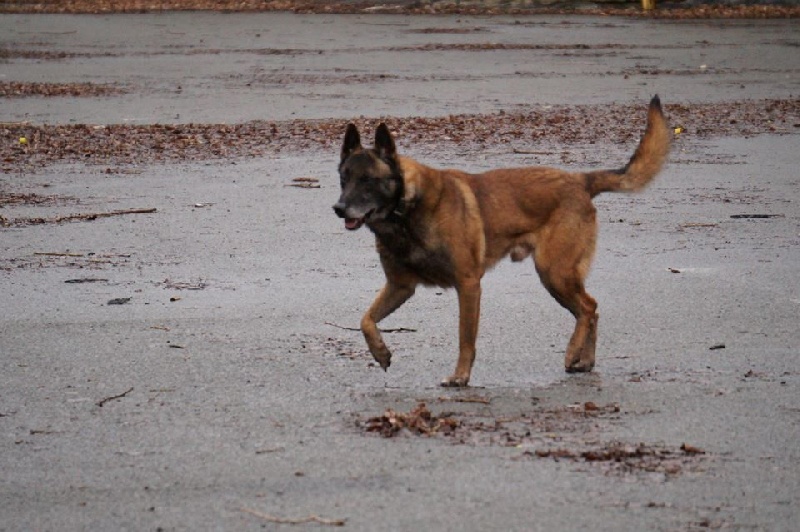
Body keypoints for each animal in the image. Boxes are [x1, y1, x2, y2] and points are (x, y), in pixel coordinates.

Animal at [333, 96, 670, 387]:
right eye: (344, 179)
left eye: (368, 181)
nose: (338, 208)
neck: (406, 213)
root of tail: (579, 180)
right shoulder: (399, 286)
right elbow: (365, 320)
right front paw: (380, 352)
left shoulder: (468, 285)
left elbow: (465, 339)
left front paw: (460, 377)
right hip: (557, 278)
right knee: (590, 310)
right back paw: (585, 360)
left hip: (554, 273)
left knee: (588, 308)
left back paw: (574, 352)